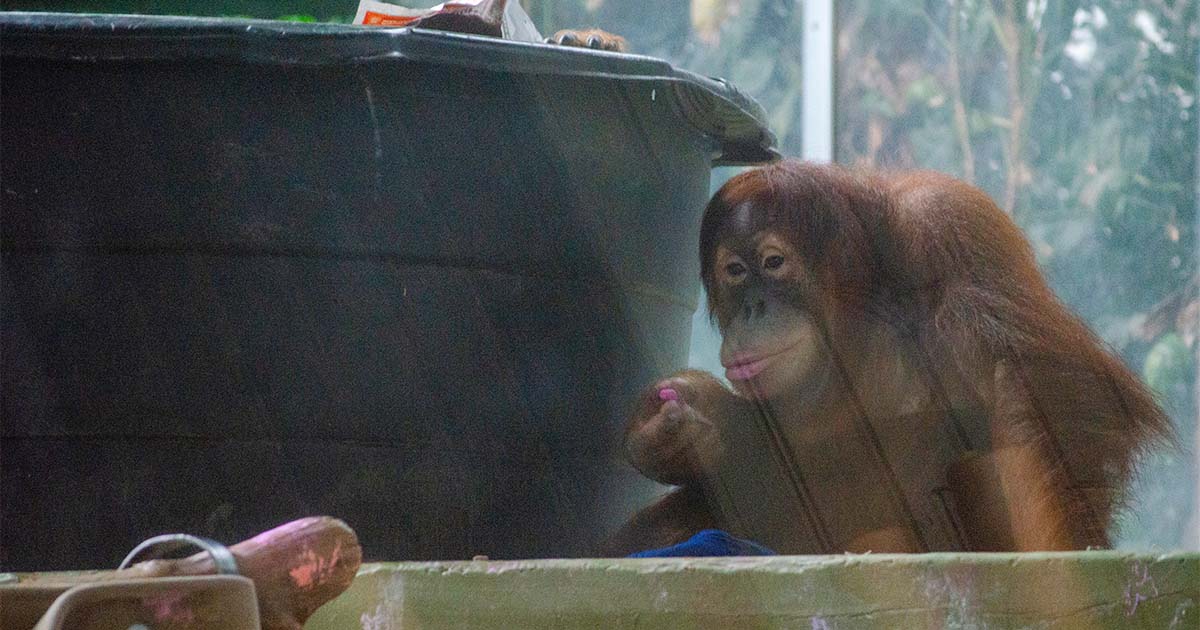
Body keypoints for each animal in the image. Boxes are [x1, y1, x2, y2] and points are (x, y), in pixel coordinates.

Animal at [608, 160, 1172, 555]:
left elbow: (1057, 385)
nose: (753, 309)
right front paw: (671, 428)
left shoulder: (951, 226)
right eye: (734, 271)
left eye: (772, 262)